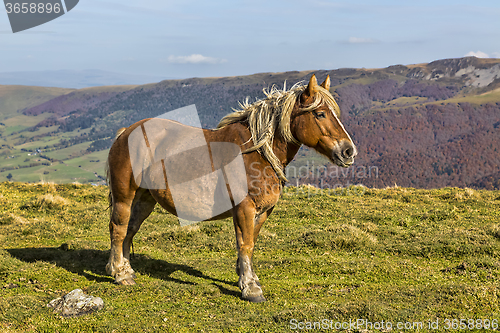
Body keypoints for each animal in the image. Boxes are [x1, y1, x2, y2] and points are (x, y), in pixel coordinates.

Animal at [105, 74, 358, 300]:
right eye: (320, 113)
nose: (349, 151)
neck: (257, 153)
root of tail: (126, 133)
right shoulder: (244, 209)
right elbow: (245, 245)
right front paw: (251, 289)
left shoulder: (262, 212)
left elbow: (251, 243)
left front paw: (246, 278)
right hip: (125, 196)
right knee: (118, 229)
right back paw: (120, 274)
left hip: (144, 199)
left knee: (130, 229)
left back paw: (125, 269)